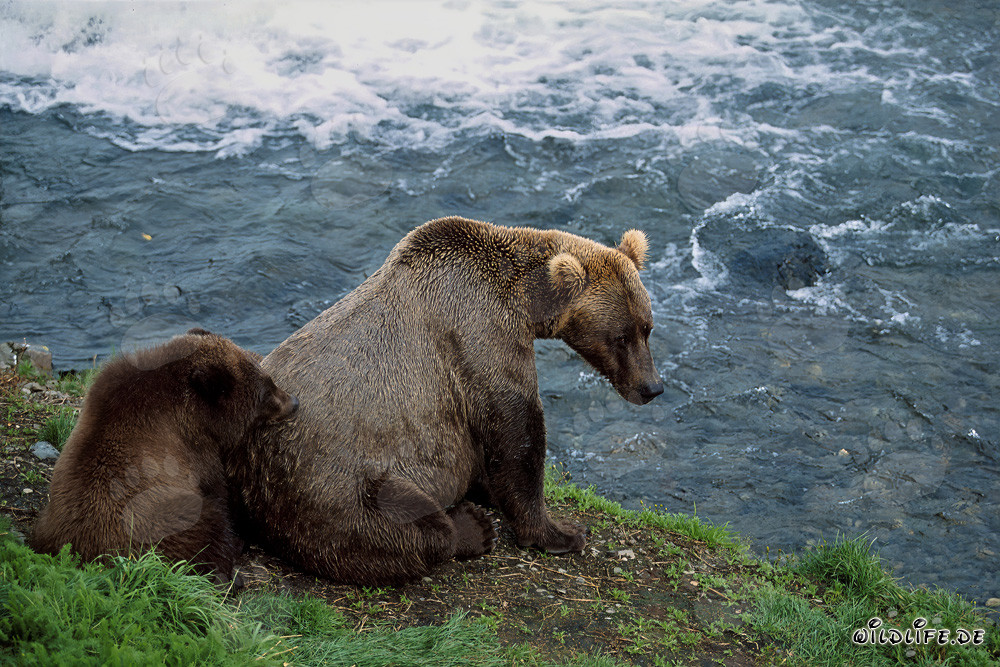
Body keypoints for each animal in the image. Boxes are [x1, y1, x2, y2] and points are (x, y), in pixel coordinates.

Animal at [28, 329, 299, 584]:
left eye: (269, 379)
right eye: (266, 391)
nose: (294, 401)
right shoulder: (195, 449)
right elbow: (218, 489)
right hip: (165, 519)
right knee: (209, 526)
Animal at [233, 216, 663, 585]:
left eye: (647, 328)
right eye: (620, 337)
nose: (651, 387)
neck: (524, 303)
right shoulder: (479, 337)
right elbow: (517, 432)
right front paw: (561, 533)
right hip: (333, 486)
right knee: (402, 529)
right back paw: (470, 528)